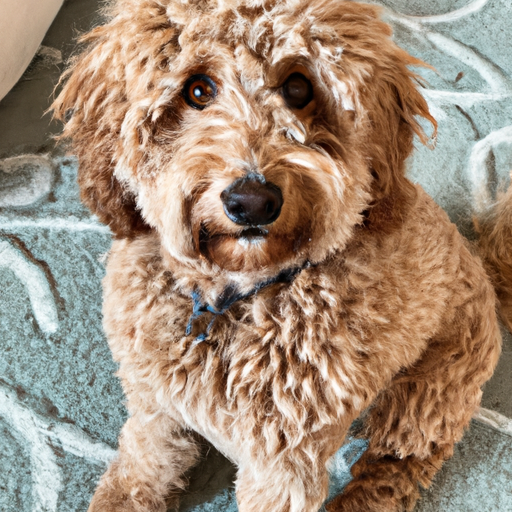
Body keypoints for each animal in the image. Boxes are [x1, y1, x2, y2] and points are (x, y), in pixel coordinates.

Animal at [52, 1, 500, 512]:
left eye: (299, 87)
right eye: (197, 90)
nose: (252, 202)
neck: (232, 300)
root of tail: (479, 262)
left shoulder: (282, 463)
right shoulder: (156, 406)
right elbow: (143, 464)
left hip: (432, 390)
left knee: (398, 463)